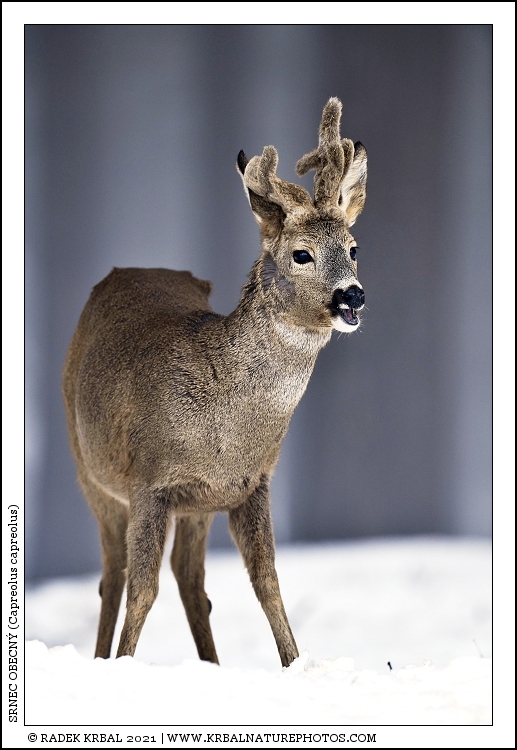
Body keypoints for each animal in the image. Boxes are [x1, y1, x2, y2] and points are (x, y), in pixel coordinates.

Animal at [62, 97, 367, 668]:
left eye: (354, 247)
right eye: (302, 254)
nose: (352, 296)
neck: (226, 428)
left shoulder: (250, 484)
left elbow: (268, 583)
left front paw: (295, 664)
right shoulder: (149, 481)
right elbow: (142, 590)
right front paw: (125, 664)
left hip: (196, 506)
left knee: (190, 579)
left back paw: (210, 665)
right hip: (88, 470)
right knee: (112, 576)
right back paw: (101, 659)